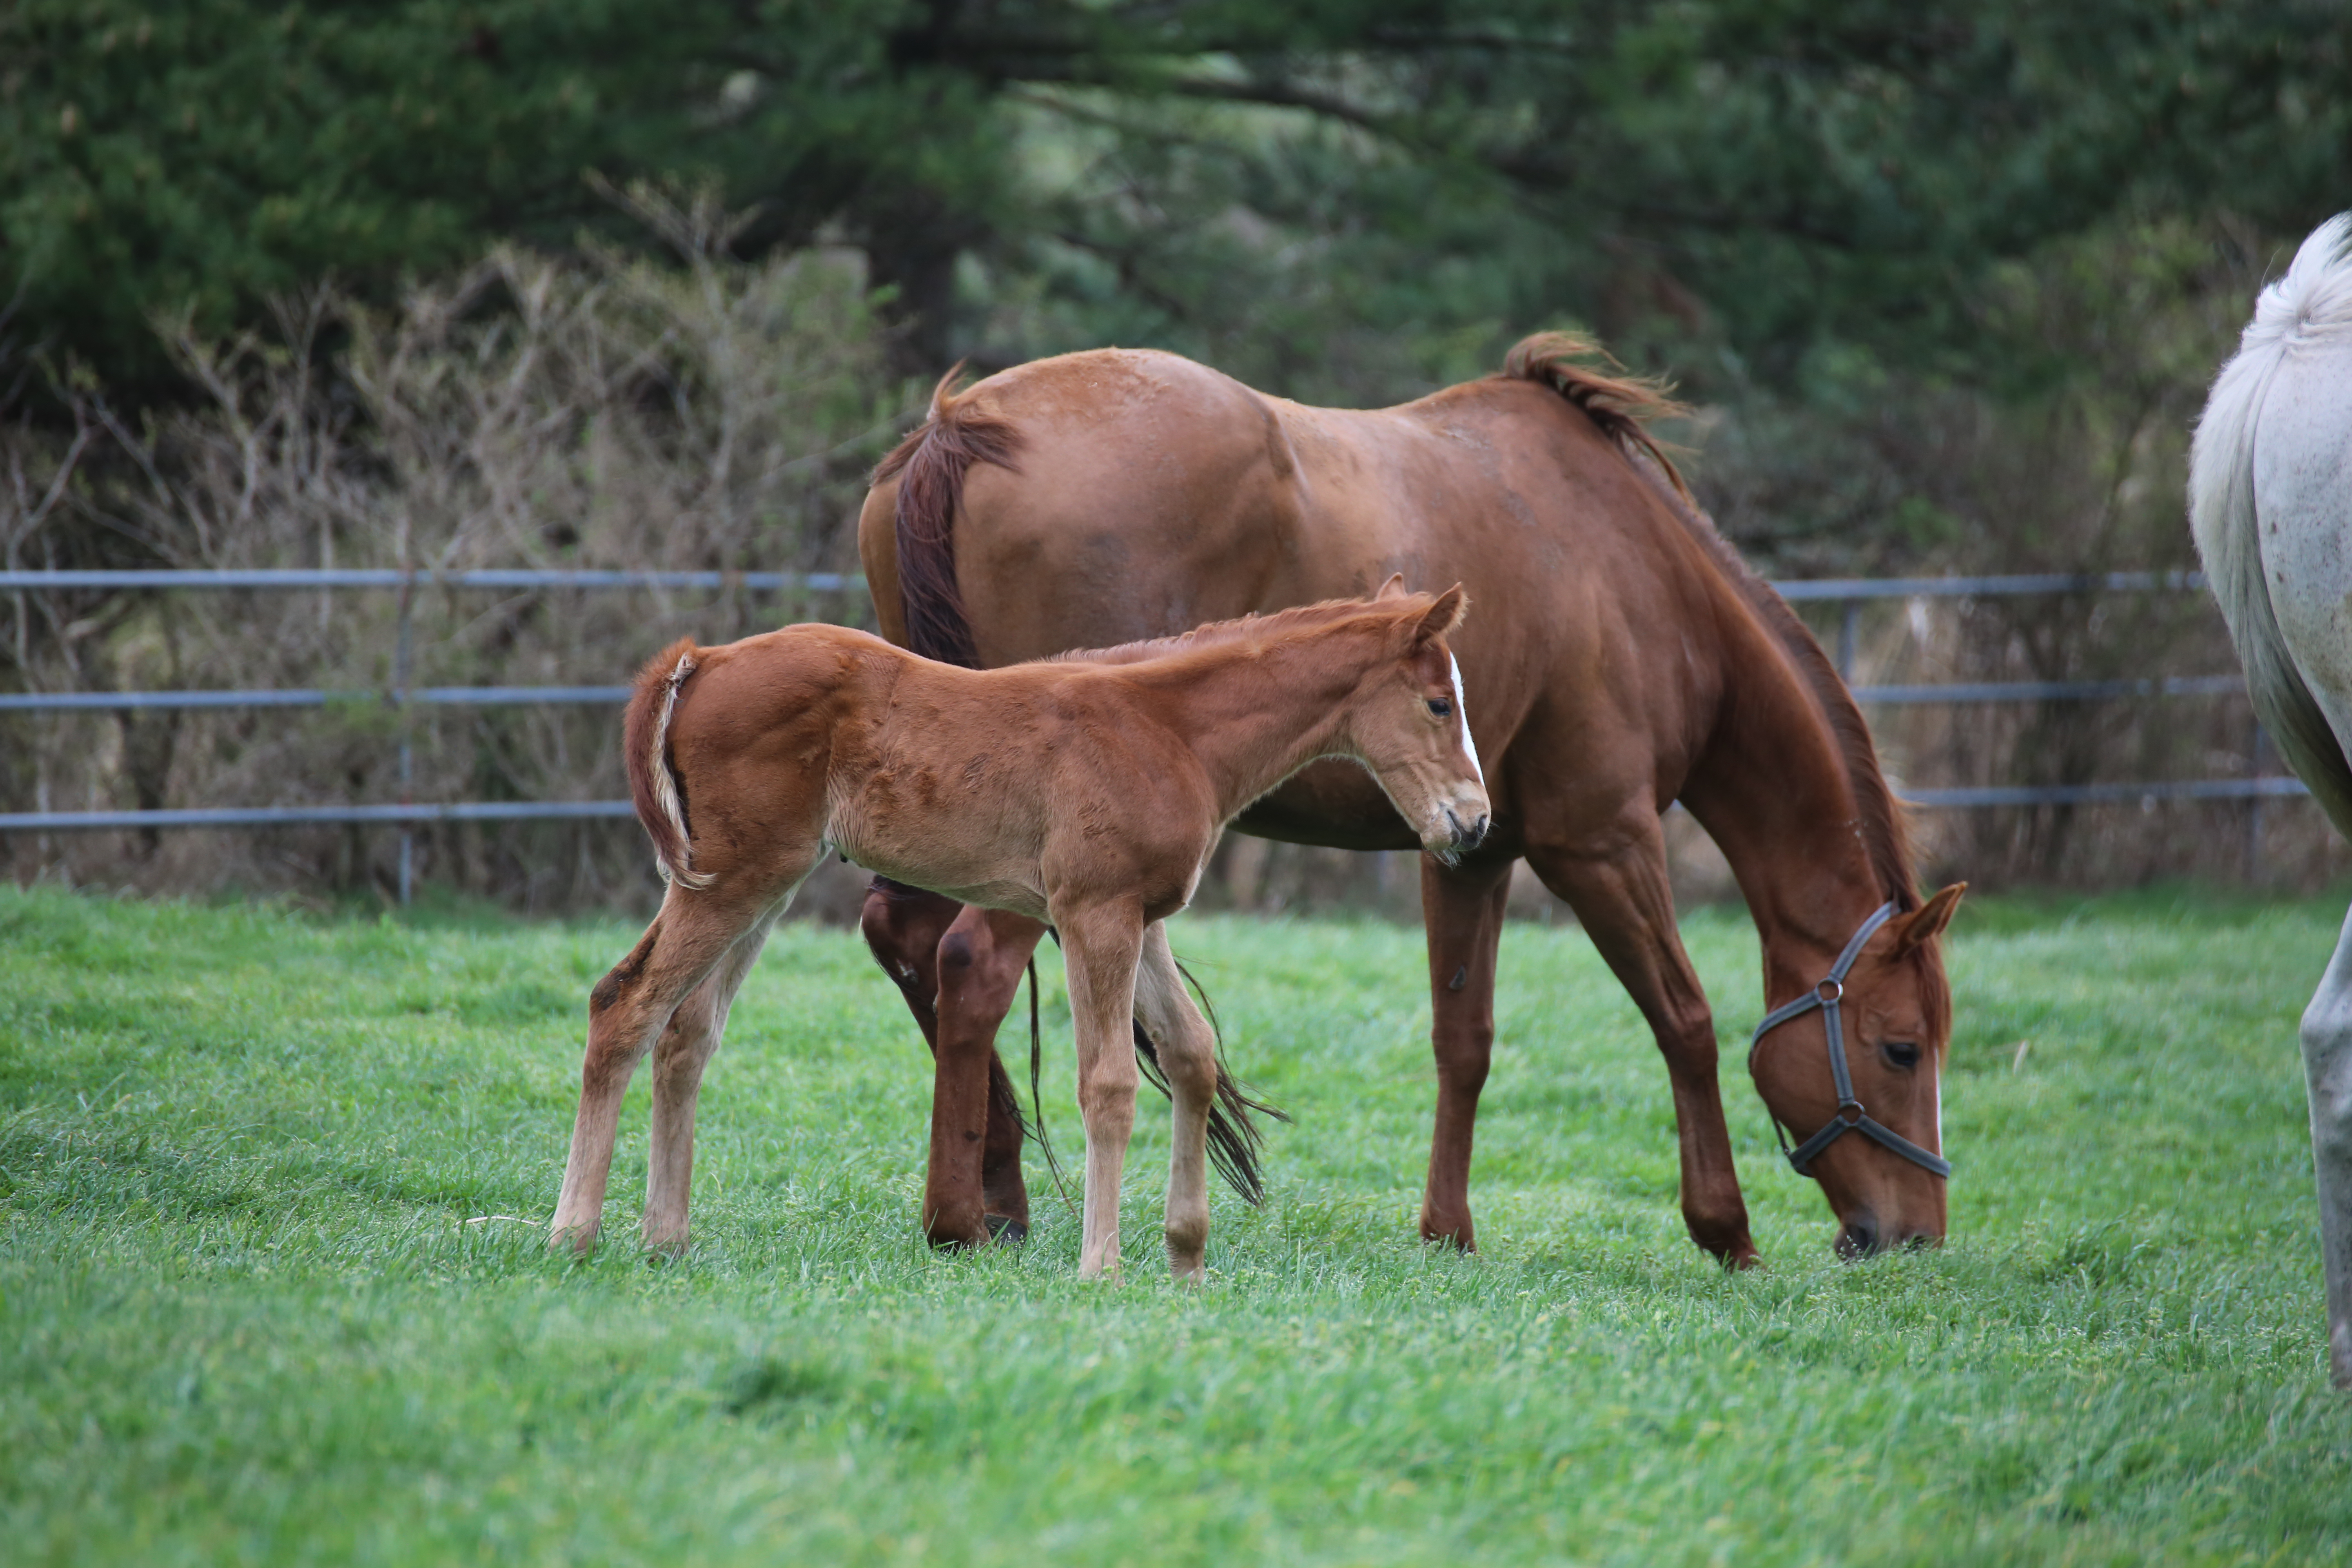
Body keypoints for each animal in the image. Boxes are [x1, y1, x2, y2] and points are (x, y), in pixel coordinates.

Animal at [550, 588, 1486, 1278]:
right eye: (1439, 704)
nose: (1474, 824)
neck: (1168, 728)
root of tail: (701, 660)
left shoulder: (1143, 917)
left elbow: (1191, 1054)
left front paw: (1187, 1258)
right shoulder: (1092, 913)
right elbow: (1108, 1083)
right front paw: (1102, 1267)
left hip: (761, 888)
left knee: (688, 1033)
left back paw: (666, 1238)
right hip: (734, 882)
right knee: (625, 1005)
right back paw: (574, 1233)